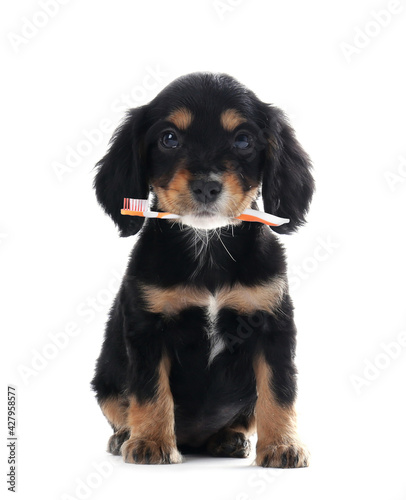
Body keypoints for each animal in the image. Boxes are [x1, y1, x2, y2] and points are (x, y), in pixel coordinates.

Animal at [91, 72, 314, 466]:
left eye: (243, 140)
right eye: (169, 138)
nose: (207, 187)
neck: (207, 246)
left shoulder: (273, 325)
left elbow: (279, 391)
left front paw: (282, 445)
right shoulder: (147, 329)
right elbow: (150, 391)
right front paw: (151, 441)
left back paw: (230, 438)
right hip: (106, 377)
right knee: (121, 406)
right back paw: (125, 436)